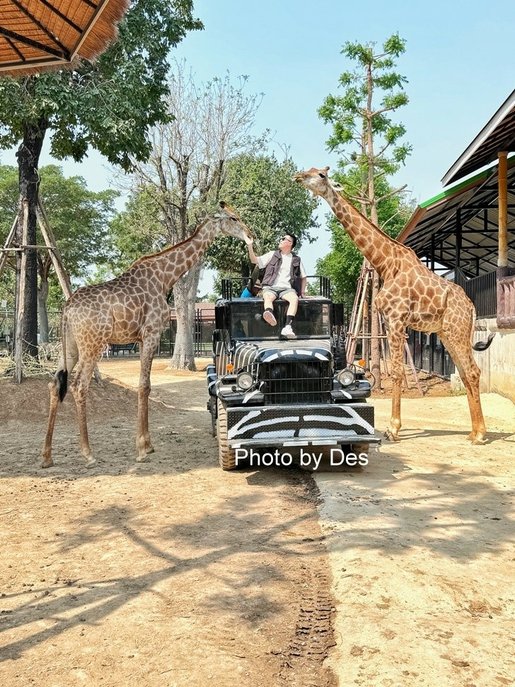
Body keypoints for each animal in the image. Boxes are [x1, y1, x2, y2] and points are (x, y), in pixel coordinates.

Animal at [42, 200, 254, 468]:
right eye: (233, 218)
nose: (250, 236)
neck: (165, 277)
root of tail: (67, 308)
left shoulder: (142, 339)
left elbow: (146, 385)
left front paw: (148, 444)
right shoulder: (152, 333)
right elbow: (144, 386)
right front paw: (142, 448)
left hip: (70, 345)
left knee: (54, 384)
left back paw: (46, 456)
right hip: (93, 344)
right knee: (80, 385)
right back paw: (88, 453)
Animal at [296, 167, 498, 446]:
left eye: (321, 175)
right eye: (311, 171)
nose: (298, 177)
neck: (384, 262)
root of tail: (470, 307)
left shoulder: (396, 318)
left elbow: (397, 373)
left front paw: (393, 429)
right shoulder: (391, 320)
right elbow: (397, 371)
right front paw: (394, 427)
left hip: (456, 332)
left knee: (473, 372)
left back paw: (479, 435)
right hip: (448, 333)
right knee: (467, 373)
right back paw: (473, 431)